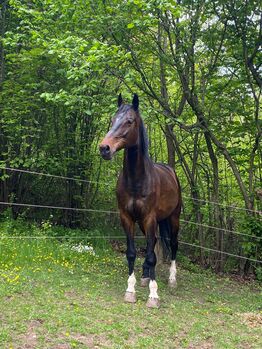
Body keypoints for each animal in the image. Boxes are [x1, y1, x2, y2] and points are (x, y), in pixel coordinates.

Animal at [99, 93, 181, 308]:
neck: (137, 180)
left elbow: (152, 256)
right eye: (112, 119)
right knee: (153, 243)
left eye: (129, 121)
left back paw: (172, 280)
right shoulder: (127, 218)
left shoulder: (149, 218)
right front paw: (131, 290)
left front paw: (153, 296)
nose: (104, 148)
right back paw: (145, 276)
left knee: (173, 244)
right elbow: (132, 253)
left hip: (173, 218)